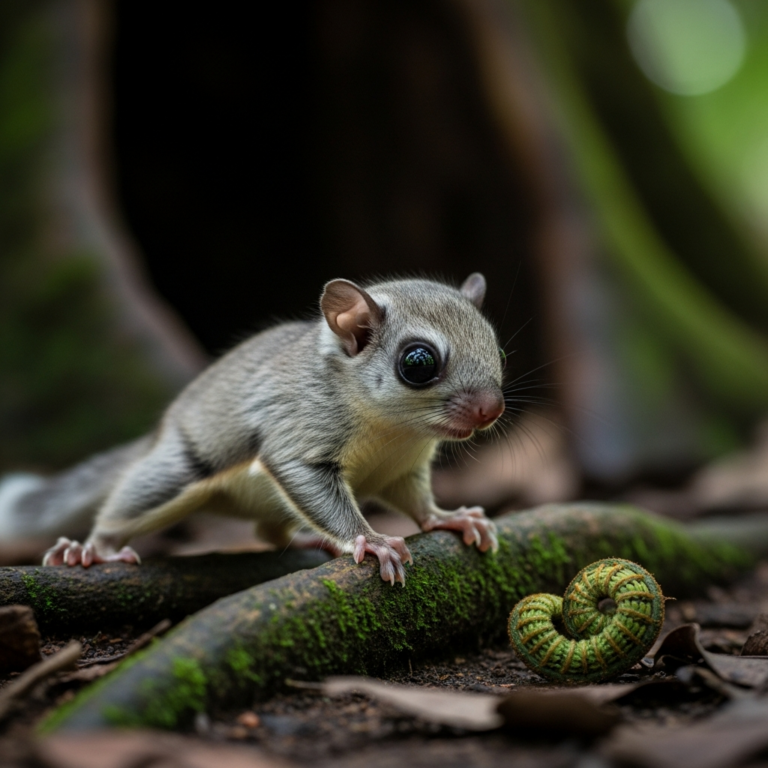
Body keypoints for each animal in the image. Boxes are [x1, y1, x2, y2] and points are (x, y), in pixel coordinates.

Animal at [0, 274, 505, 584]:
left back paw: (308, 538)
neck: (396, 432)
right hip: (178, 470)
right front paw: (373, 540)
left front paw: (449, 517)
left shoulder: (403, 470)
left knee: (268, 532)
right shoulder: (297, 432)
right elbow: (305, 476)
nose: (492, 409)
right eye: (417, 363)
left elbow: (418, 503)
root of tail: (160, 432)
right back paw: (91, 549)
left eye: (497, 349)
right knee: (125, 508)